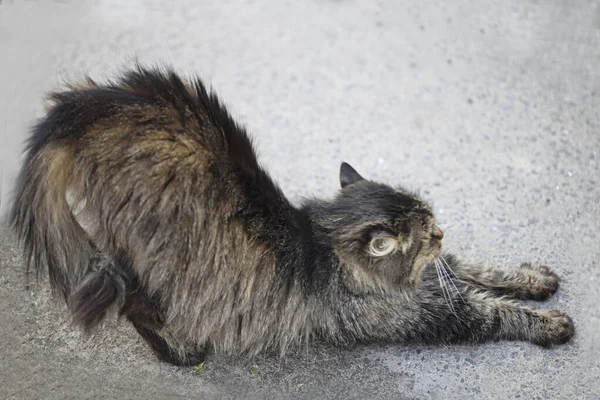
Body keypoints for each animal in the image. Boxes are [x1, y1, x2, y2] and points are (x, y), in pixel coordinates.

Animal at [8, 65, 572, 366]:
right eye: (426, 231)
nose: (440, 229)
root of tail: (75, 116)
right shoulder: (436, 316)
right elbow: (496, 311)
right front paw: (553, 323)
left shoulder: (443, 278)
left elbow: (482, 270)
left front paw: (535, 278)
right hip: (149, 262)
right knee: (131, 303)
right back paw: (179, 351)